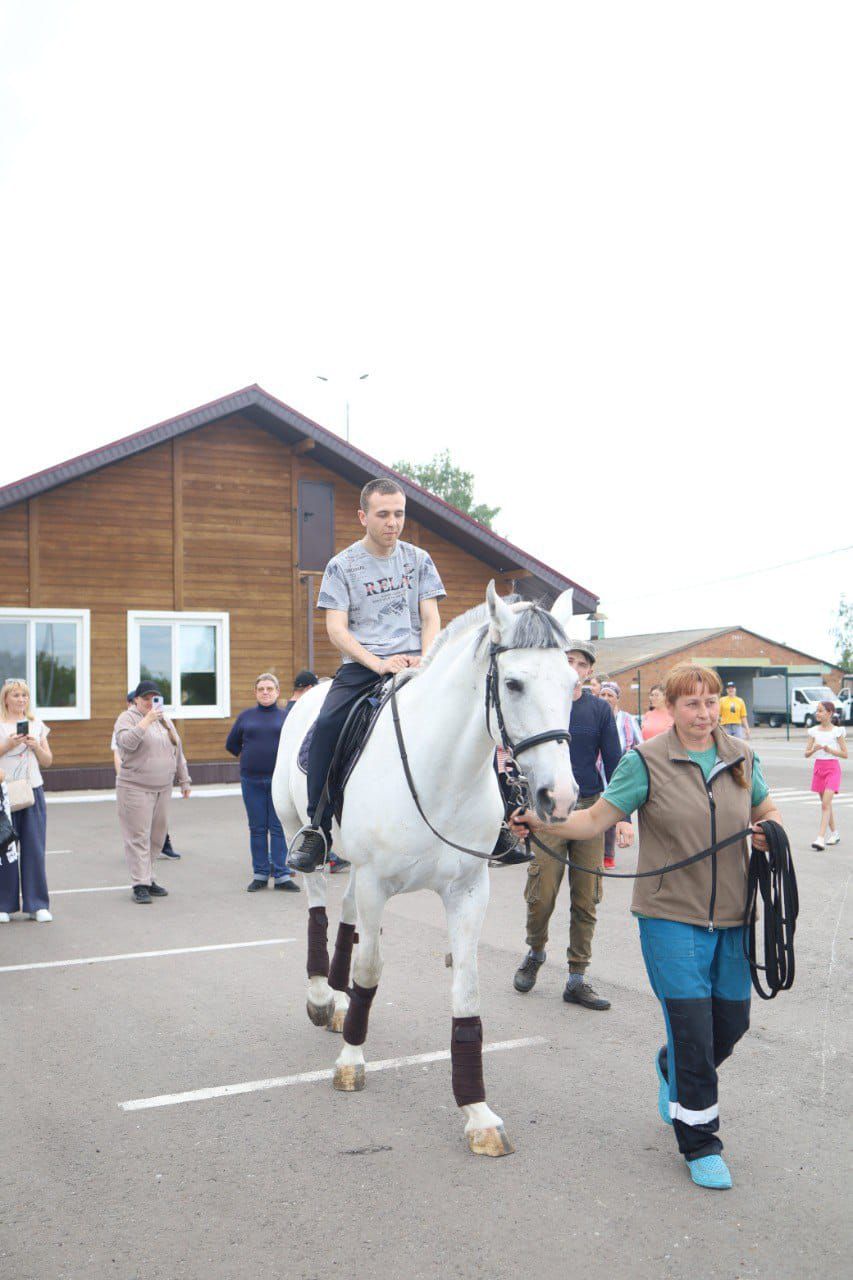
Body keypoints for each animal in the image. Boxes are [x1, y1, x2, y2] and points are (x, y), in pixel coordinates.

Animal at [272, 586, 578, 1157]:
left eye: (573, 684)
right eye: (514, 683)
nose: (561, 797)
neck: (442, 775)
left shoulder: (468, 890)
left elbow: (466, 987)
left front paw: (477, 1112)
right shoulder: (376, 881)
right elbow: (371, 968)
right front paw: (351, 1062)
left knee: (345, 915)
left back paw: (340, 1004)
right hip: (298, 833)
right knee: (319, 907)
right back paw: (323, 998)